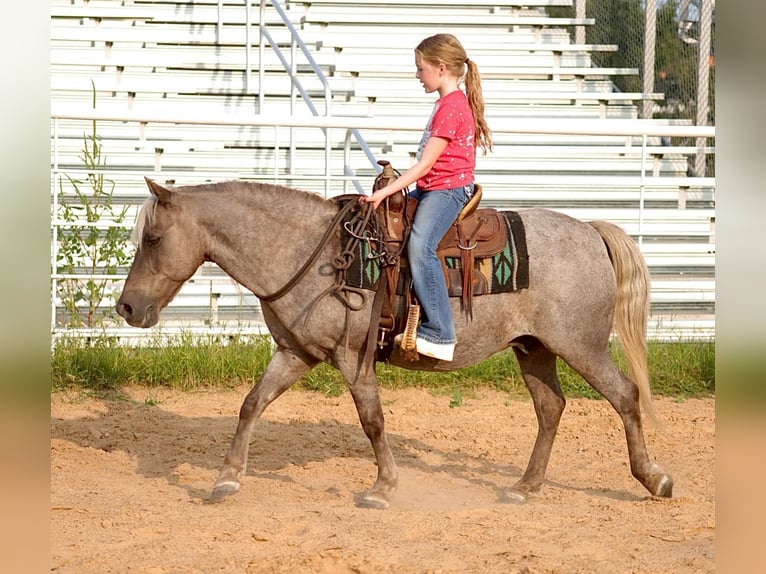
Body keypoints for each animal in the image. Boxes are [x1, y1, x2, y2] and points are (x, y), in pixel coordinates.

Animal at [116, 178, 673, 509]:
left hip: (582, 346)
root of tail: (591, 231)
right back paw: (524, 487)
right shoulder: (296, 352)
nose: (127, 309)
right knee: (551, 407)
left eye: (153, 239)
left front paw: (383, 487)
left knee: (624, 396)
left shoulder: (351, 358)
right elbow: (252, 403)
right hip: (534, 348)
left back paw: (654, 478)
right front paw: (226, 479)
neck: (315, 254)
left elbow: (372, 420)